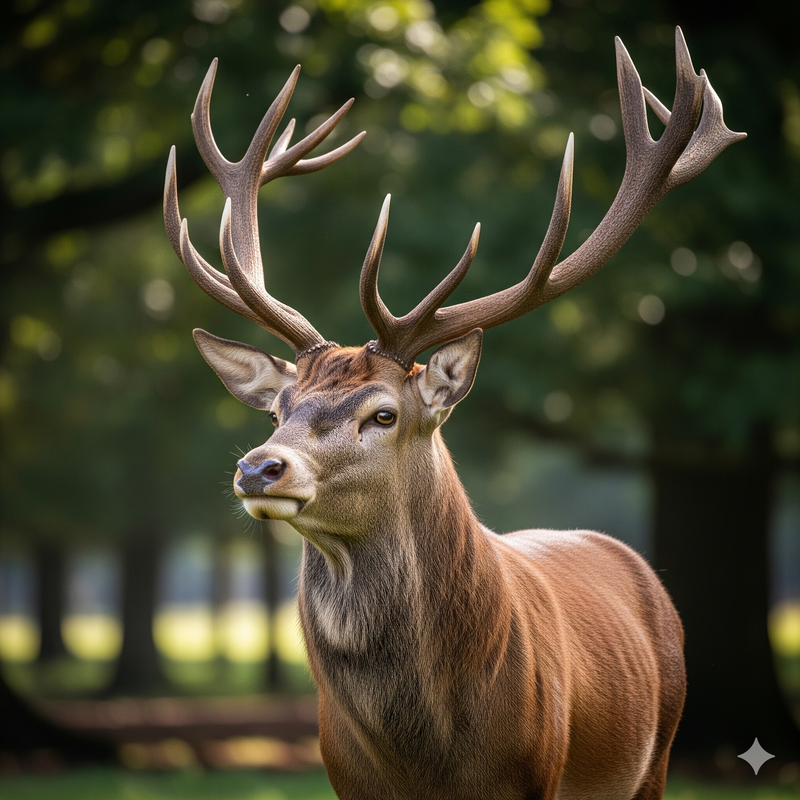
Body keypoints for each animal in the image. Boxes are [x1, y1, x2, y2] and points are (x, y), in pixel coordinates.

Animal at [163, 27, 743, 800]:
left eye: (382, 415)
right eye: (276, 409)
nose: (259, 468)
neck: (428, 761)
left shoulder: (535, 775)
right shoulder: (344, 779)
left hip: (659, 753)